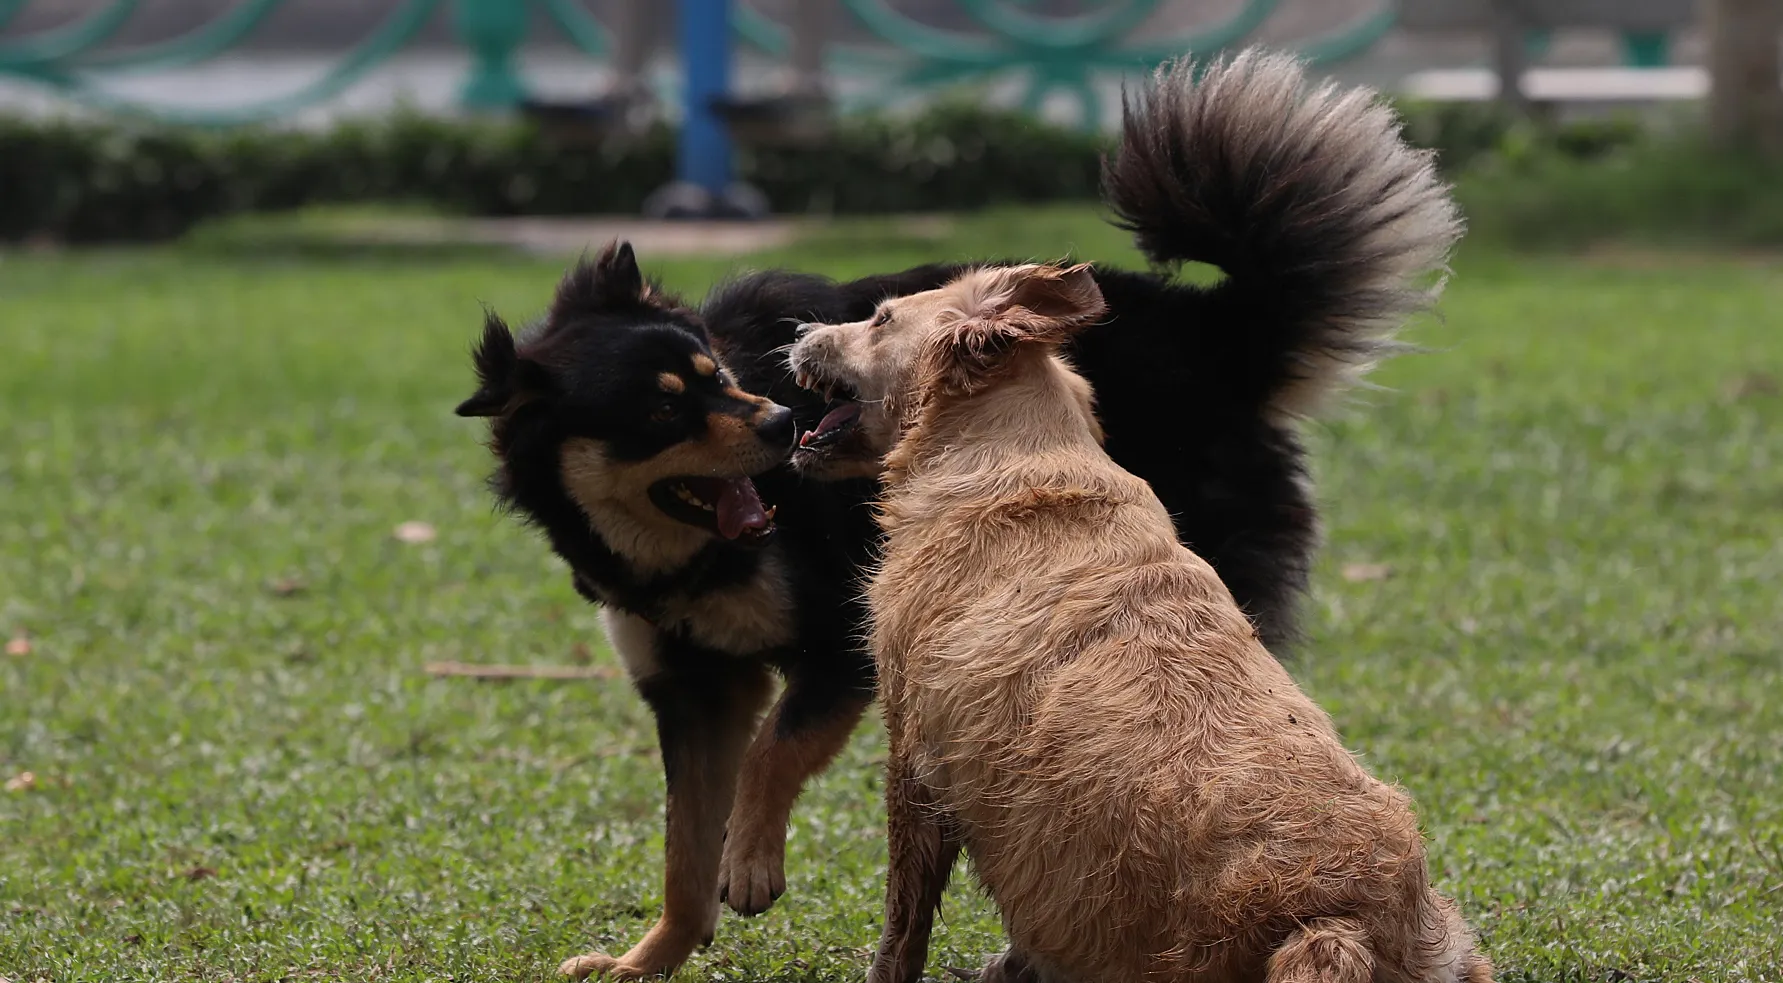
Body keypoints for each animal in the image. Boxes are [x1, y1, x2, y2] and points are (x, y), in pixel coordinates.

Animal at [788, 262, 1497, 983]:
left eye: (880, 319)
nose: (801, 330)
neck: (1010, 452)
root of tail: (1339, 922)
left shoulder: (913, 757)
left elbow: (901, 926)